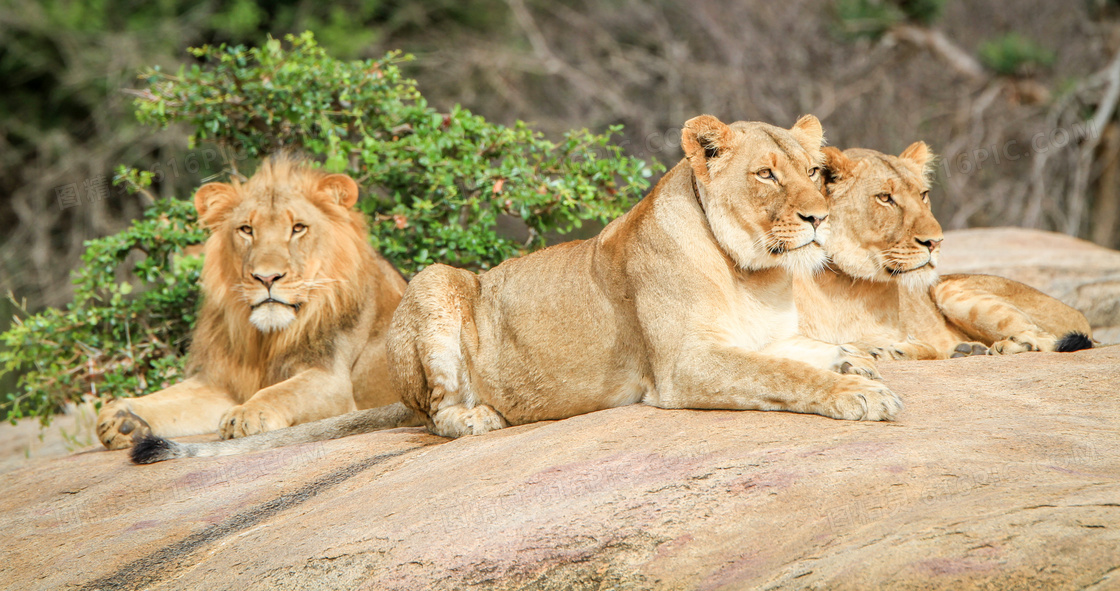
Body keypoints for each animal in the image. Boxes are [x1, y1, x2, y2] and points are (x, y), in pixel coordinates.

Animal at [131, 115, 900, 463]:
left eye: (816, 170)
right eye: (767, 174)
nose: (818, 217)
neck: (755, 273)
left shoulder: (770, 335)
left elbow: (810, 351)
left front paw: (863, 361)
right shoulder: (687, 367)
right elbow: (787, 376)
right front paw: (860, 394)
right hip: (436, 283)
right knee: (437, 414)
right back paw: (478, 418)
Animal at [797, 143, 1093, 360]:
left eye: (923, 195)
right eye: (885, 198)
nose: (935, 242)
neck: (841, 285)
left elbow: (918, 348)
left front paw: (892, 350)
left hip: (949, 289)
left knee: (1045, 337)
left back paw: (1005, 346)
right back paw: (968, 350)